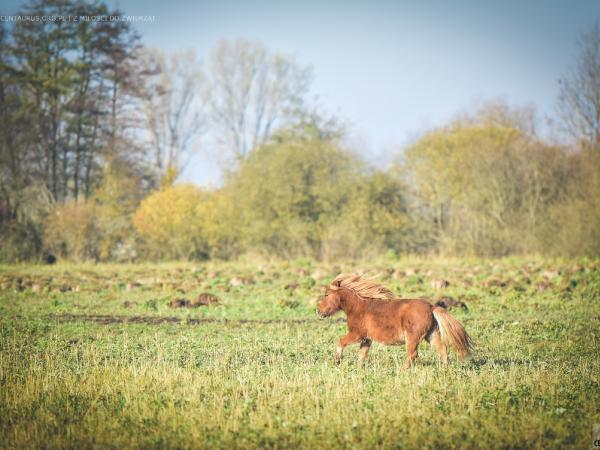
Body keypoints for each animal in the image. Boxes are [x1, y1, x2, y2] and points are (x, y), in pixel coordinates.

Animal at [318, 272, 474, 368]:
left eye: (326, 294)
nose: (318, 311)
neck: (359, 306)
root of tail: (431, 307)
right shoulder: (367, 339)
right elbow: (362, 355)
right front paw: (357, 368)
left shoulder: (357, 334)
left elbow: (341, 341)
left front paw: (337, 360)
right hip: (431, 335)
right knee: (442, 350)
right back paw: (444, 369)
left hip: (413, 338)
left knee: (412, 354)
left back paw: (403, 370)